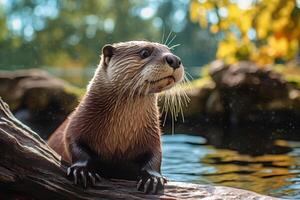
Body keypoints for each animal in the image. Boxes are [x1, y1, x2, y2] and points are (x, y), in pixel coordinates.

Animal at [47, 41, 184, 194]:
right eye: (145, 52)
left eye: (169, 51)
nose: (174, 59)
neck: (118, 137)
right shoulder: (77, 124)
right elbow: (73, 144)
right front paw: (82, 171)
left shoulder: (152, 135)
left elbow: (155, 156)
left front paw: (153, 178)